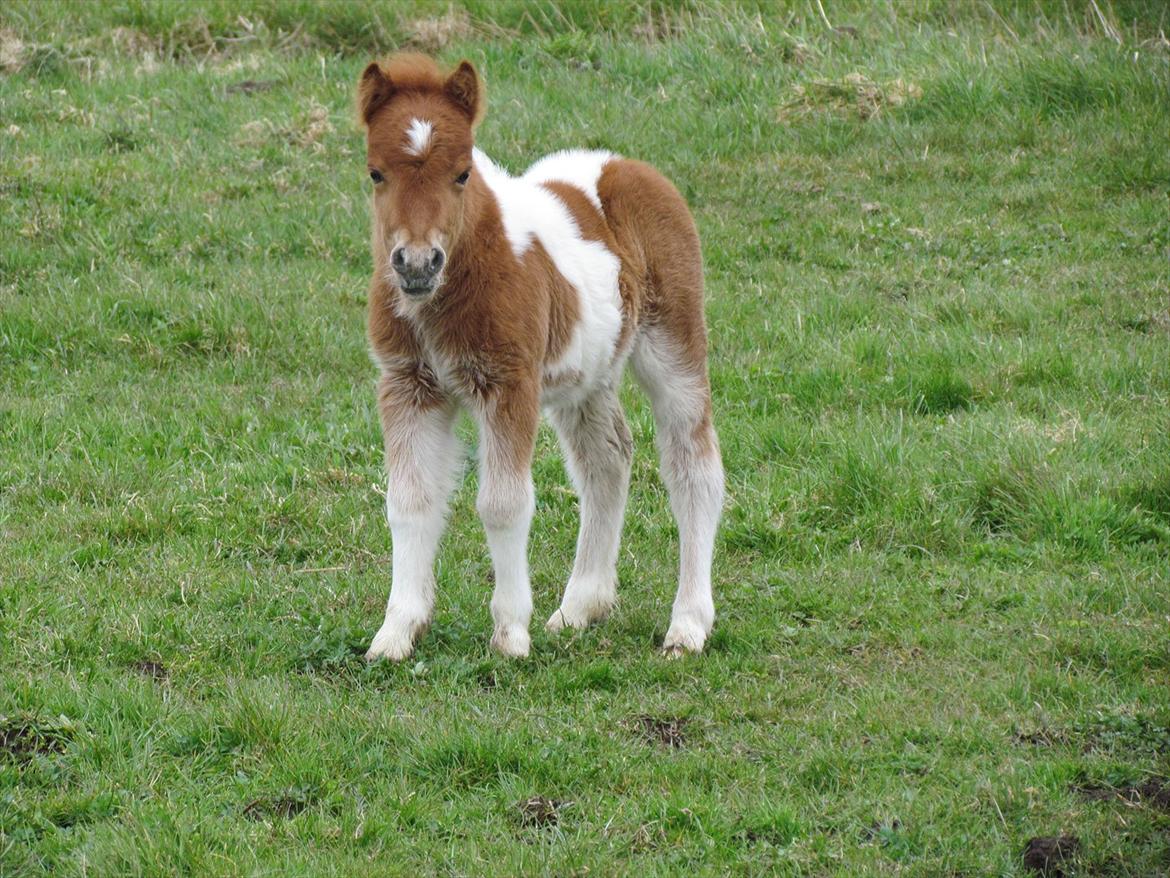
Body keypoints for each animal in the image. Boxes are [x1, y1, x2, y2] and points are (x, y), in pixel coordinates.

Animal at [355, 55, 720, 660]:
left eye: (462, 173)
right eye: (375, 173)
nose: (417, 263)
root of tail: (624, 163)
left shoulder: (509, 383)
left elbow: (502, 503)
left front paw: (509, 634)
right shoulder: (407, 386)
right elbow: (409, 501)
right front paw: (396, 633)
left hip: (675, 342)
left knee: (693, 466)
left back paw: (687, 626)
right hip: (587, 373)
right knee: (608, 458)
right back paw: (578, 609)